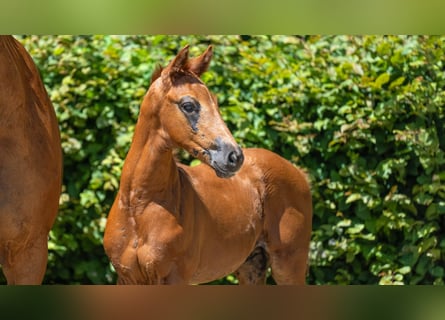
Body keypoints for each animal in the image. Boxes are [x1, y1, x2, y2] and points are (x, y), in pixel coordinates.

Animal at [104, 45, 312, 284]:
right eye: (188, 105)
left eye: (216, 102)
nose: (234, 157)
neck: (139, 206)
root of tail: (299, 173)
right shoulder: (126, 277)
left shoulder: (175, 277)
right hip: (252, 265)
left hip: (288, 265)